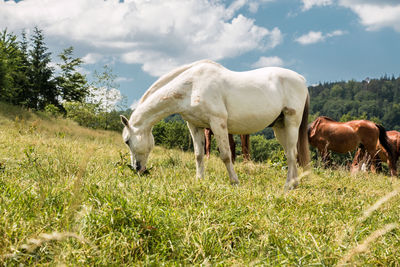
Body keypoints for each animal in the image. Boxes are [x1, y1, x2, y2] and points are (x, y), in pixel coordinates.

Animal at [120, 60, 310, 191]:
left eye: (127, 141)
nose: (137, 169)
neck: (192, 86)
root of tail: (301, 79)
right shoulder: (194, 126)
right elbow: (198, 155)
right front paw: (199, 180)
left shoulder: (218, 123)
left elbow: (226, 155)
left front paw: (234, 182)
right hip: (280, 126)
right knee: (291, 154)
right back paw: (294, 184)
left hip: (292, 123)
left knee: (292, 155)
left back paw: (288, 186)